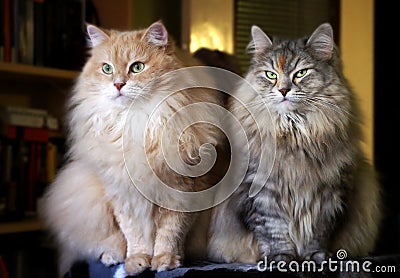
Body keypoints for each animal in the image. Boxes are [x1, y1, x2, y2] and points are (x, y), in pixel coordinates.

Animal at [39, 21, 227, 276]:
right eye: (107, 69)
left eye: (137, 67)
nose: (118, 84)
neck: (137, 124)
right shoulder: (122, 195)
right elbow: (133, 234)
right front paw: (137, 262)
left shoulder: (183, 191)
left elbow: (170, 234)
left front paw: (165, 261)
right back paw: (113, 257)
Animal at [208, 23, 382, 262]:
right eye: (271, 75)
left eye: (301, 73)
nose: (283, 90)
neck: (294, 133)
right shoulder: (262, 193)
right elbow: (274, 231)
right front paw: (281, 258)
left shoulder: (329, 194)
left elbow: (317, 232)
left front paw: (315, 258)